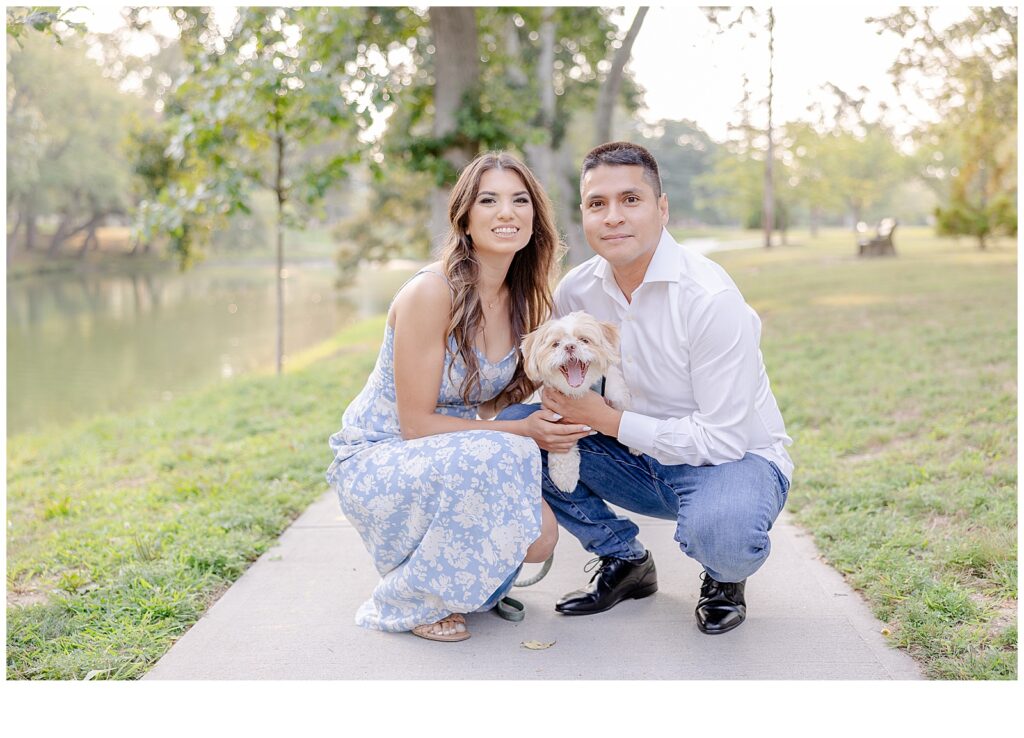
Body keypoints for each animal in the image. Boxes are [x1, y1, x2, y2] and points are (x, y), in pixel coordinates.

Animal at [524, 307, 634, 491]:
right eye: (556, 344)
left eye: (584, 340)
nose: (569, 346)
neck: (579, 392)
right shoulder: (556, 422)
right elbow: (562, 453)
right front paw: (565, 477)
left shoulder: (615, 390)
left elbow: (623, 410)